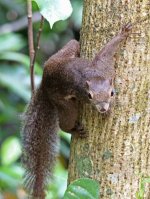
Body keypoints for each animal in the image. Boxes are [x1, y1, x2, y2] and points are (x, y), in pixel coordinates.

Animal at [21, 23, 132, 199]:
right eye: (89, 96)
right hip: (65, 104)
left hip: (66, 52)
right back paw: (74, 130)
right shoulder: (87, 86)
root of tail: (44, 81)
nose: (103, 107)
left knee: (73, 44)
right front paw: (105, 113)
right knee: (65, 122)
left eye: (112, 93)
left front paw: (123, 33)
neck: (95, 76)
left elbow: (105, 51)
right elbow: (105, 53)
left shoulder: (104, 68)